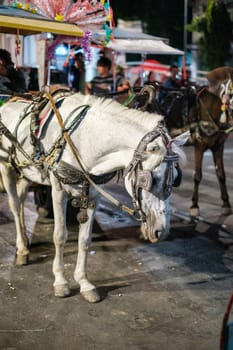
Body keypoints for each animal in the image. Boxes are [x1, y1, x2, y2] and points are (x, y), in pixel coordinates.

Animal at [0, 91, 187, 302]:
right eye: (149, 179)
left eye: (177, 179)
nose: (161, 231)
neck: (85, 142)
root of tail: (8, 102)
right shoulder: (58, 191)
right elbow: (60, 236)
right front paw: (60, 281)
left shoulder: (93, 196)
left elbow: (85, 240)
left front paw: (84, 282)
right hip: (6, 165)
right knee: (15, 205)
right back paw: (22, 248)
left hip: (27, 172)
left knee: (22, 198)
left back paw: (24, 239)